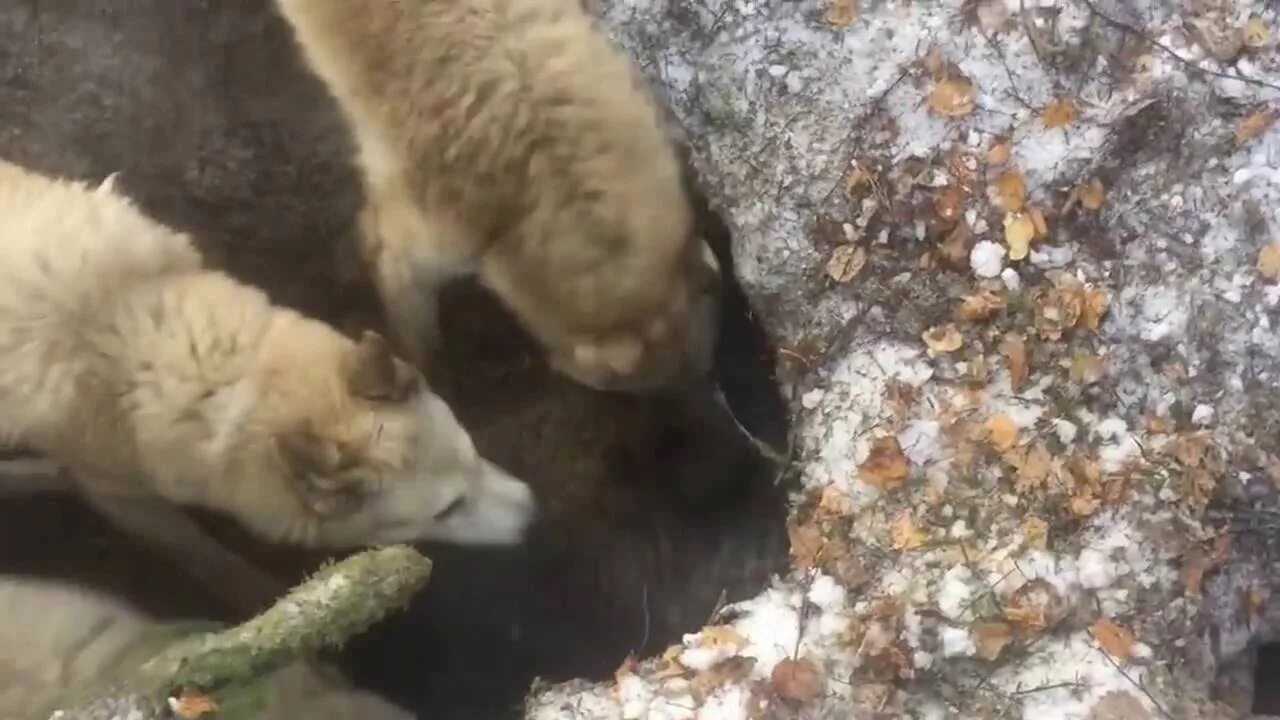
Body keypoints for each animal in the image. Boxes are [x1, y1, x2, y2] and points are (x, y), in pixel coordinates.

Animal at [0, 159, 535, 607]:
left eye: (472, 450)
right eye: (448, 510)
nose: (535, 516)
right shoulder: (118, 490)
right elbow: (203, 554)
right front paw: (261, 597)